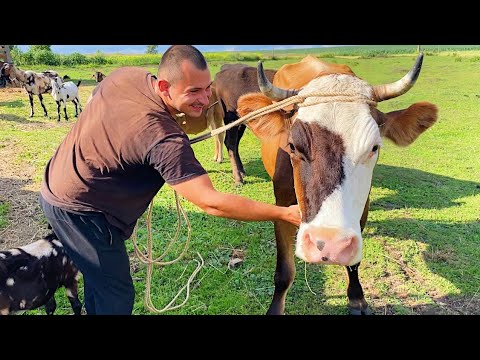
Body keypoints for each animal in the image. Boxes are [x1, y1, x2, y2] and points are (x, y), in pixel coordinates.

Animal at [236, 53, 438, 316]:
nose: (328, 244)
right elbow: (284, 271)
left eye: (374, 147)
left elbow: (354, 263)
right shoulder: (280, 207)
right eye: (292, 146)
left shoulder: (362, 208)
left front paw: (357, 299)